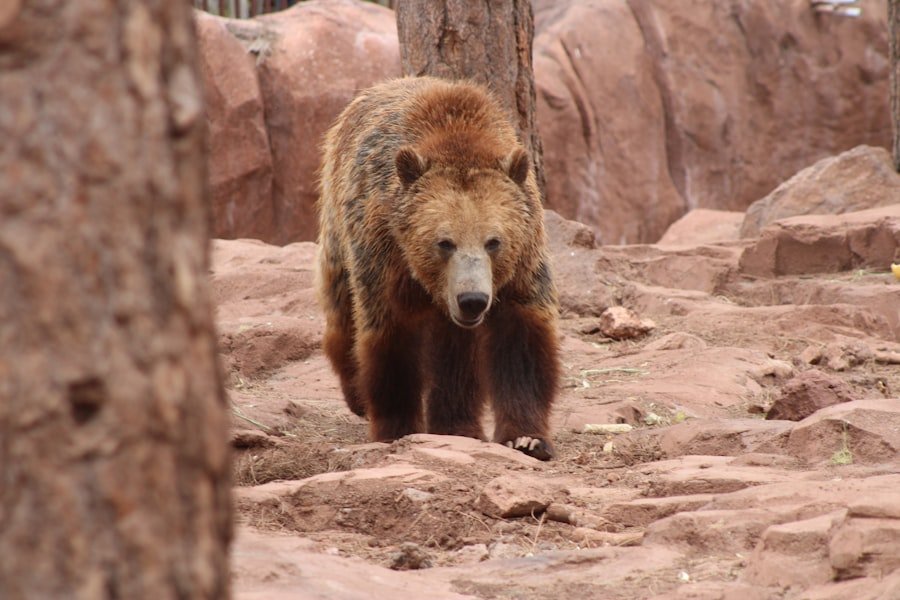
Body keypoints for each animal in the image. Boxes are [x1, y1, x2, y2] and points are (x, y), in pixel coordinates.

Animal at [316, 76, 560, 460]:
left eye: (494, 241)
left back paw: (457, 424)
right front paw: (397, 427)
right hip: (338, 222)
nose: (472, 299)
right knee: (341, 307)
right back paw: (357, 395)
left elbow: (521, 343)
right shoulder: (385, 252)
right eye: (444, 242)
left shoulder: (524, 258)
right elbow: (391, 338)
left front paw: (527, 438)